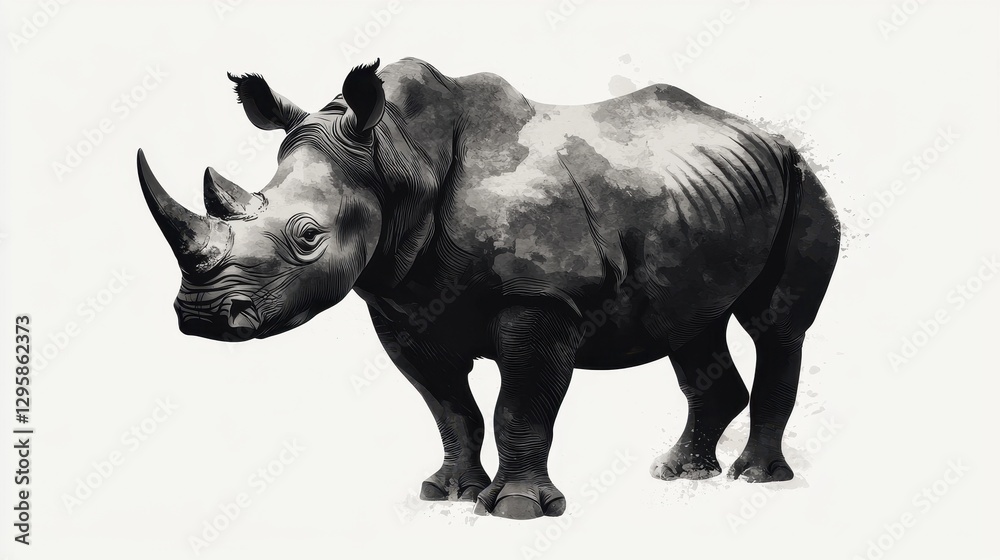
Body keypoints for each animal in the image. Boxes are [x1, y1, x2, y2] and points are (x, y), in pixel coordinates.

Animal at [137, 58, 839, 520]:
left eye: (308, 236)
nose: (200, 315)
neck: (395, 153)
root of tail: (768, 136)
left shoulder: (543, 297)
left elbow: (521, 402)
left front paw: (517, 510)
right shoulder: (401, 305)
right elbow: (450, 407)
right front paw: (448, 493)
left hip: (802, 177)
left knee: (775, 325)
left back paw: (756, 480)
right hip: (699, 201)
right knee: (691, 326)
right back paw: (678, 472)